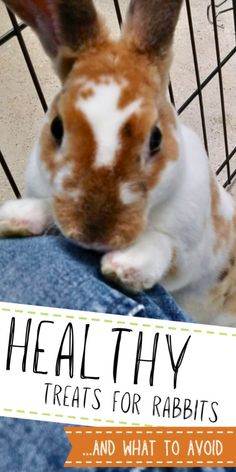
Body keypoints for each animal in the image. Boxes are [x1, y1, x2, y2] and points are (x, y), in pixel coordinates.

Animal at [0, 0, 236, 326]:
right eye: (56, 128)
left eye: (155, 138)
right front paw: (16, 217)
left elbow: (165, 247)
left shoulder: (192, 250)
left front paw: (126, 266)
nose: (94, 234)